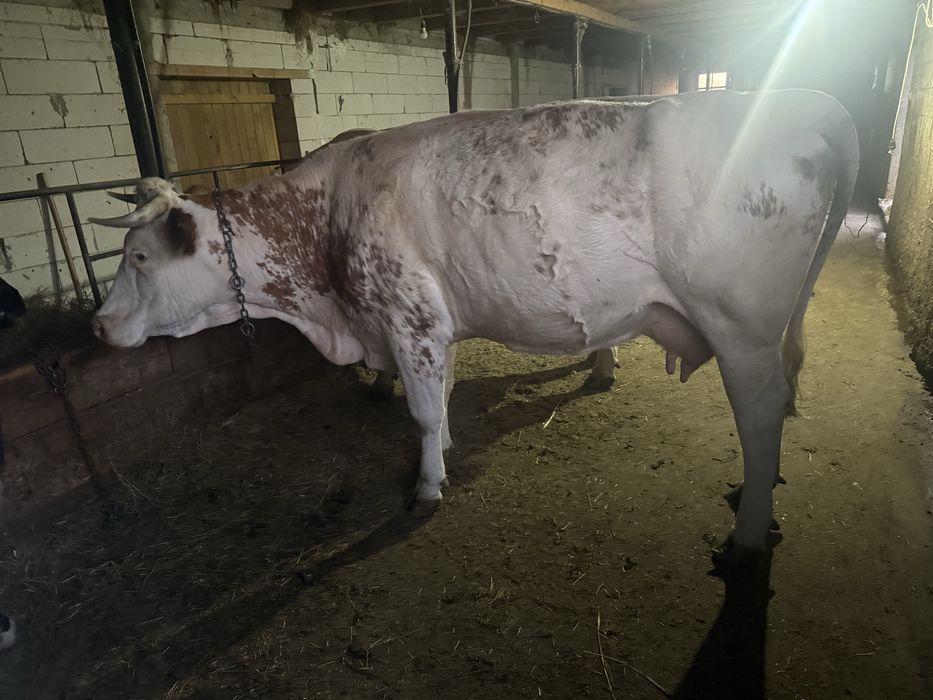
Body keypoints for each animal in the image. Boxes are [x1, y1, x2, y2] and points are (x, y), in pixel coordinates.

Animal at [89, 90, 858, 563]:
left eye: (138, 255)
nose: (98, 326)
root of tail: (804, 100)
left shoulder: (408, 315)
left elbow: (423, 411)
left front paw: (427, 485)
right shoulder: (433, 321)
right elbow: (444, 394)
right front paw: (446, 450)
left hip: (740, 326)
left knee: (761, 415)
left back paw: (747, 532)